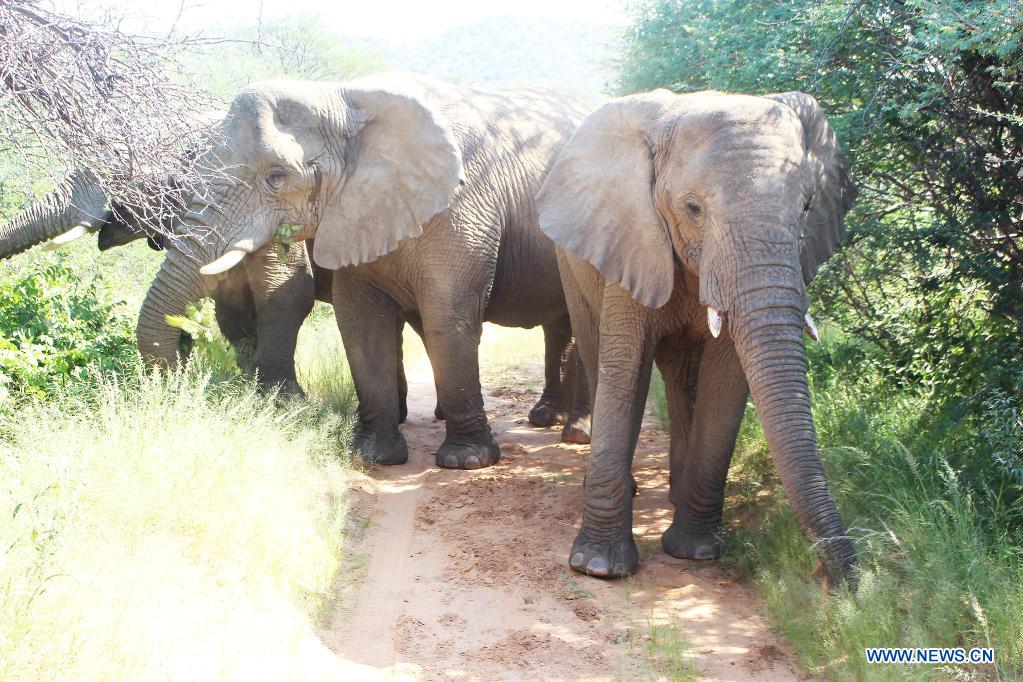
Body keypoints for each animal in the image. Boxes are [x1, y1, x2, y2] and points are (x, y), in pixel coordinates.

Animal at [127, 74, 593, 470]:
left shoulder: (462, 206)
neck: (342, 98)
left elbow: (447, 317)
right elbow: (360, 324)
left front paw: (466, 461)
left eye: (276, 177)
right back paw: (548, 418)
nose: (183, 365)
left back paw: (573, 432)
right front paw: (374, 456)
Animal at [540, 87, 859, 584]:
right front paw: (597, 567)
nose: (846, 583)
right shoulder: (633, 233)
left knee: (681, 375)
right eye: (693, 208)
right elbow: (625, 367)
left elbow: (725, 381)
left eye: (807, 207)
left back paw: (676, 497)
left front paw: (696, 552)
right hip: (571, 261)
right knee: (595, 349)